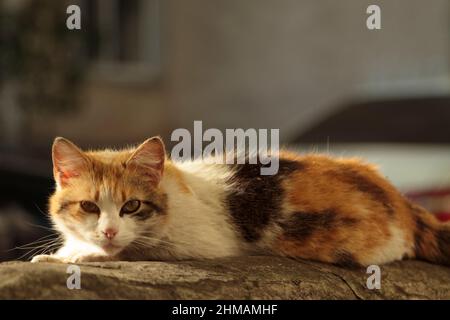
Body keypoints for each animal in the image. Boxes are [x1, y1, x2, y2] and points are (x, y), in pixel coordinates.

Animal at [30, 136, 446, 266]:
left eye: (131, 206)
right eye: (89, 206)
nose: (109, 231)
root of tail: (403, 202)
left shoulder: (202, 244)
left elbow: (133, 250)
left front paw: (73, 257)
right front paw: (61, 253)